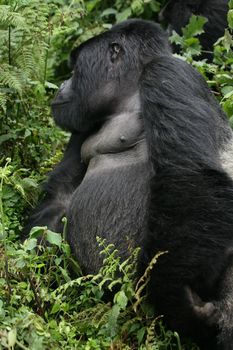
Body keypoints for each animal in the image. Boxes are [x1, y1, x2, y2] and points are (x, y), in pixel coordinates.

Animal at [25, 19, 233, 350]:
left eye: (75, 68)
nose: (61, 86)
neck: (128, 96)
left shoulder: (167, 74)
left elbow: (190, 176)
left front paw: (181, 302)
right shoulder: (83, 125)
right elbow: (61, 197)